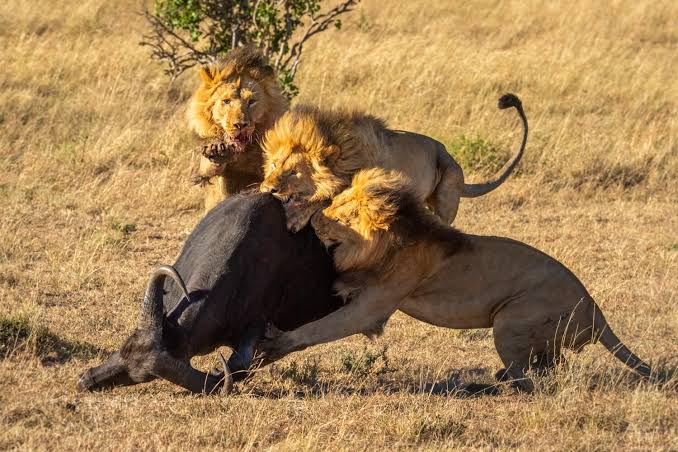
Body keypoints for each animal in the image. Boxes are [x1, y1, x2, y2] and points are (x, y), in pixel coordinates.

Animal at [188, 46, 288, 212]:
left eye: (252, 101)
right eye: (226, 101)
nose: (240, 125)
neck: (242, 152)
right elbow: (206, 170)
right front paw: (216, 151)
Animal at [258, 168, 654, 393]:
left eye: (342, 217)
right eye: (333, 205)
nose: (316, 220)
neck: (395, 240)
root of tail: (596, 310)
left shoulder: (375, 305)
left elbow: (320, 328)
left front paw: (277, 341)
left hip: (510, 321)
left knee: (532, 381)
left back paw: (491, 384)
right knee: (550, 366)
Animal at [260, 93, 527, 232]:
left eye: (294, 172)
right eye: (274, 165)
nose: (267, 189)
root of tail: (452, 159)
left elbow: (323, 199)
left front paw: (296, 215)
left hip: (446, 192)